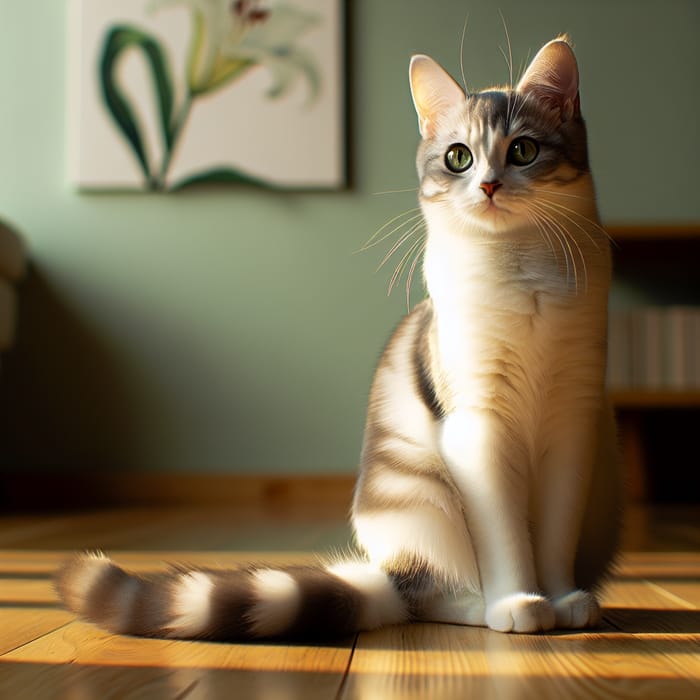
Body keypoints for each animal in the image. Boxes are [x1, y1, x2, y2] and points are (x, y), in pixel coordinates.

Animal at [57, 37, 620, 640]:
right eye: (459, 158)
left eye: (523, 151)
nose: (489, 185)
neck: (521, 267)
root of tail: (389, 569)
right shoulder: (478, 427)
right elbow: (506, 535)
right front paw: (520, 601)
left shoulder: (572, 423)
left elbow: (556, 532)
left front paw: (560, 597)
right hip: (423, 503)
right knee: (428, 594)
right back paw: (476, 607)